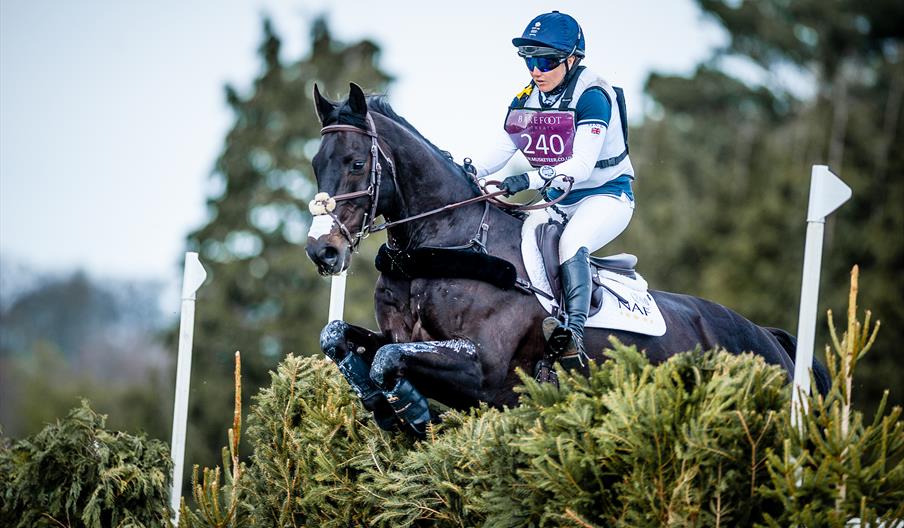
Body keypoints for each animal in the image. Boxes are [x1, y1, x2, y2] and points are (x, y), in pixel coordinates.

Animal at [305, 83, 829, 436]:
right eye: (315, 163)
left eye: (357, 163)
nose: (321, 250)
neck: (442, 246)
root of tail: (771, 338)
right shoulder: (402, 339)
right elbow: (342, 340)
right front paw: (385, 405)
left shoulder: (484, 369)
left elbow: (387, 359)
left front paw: (413, 411)